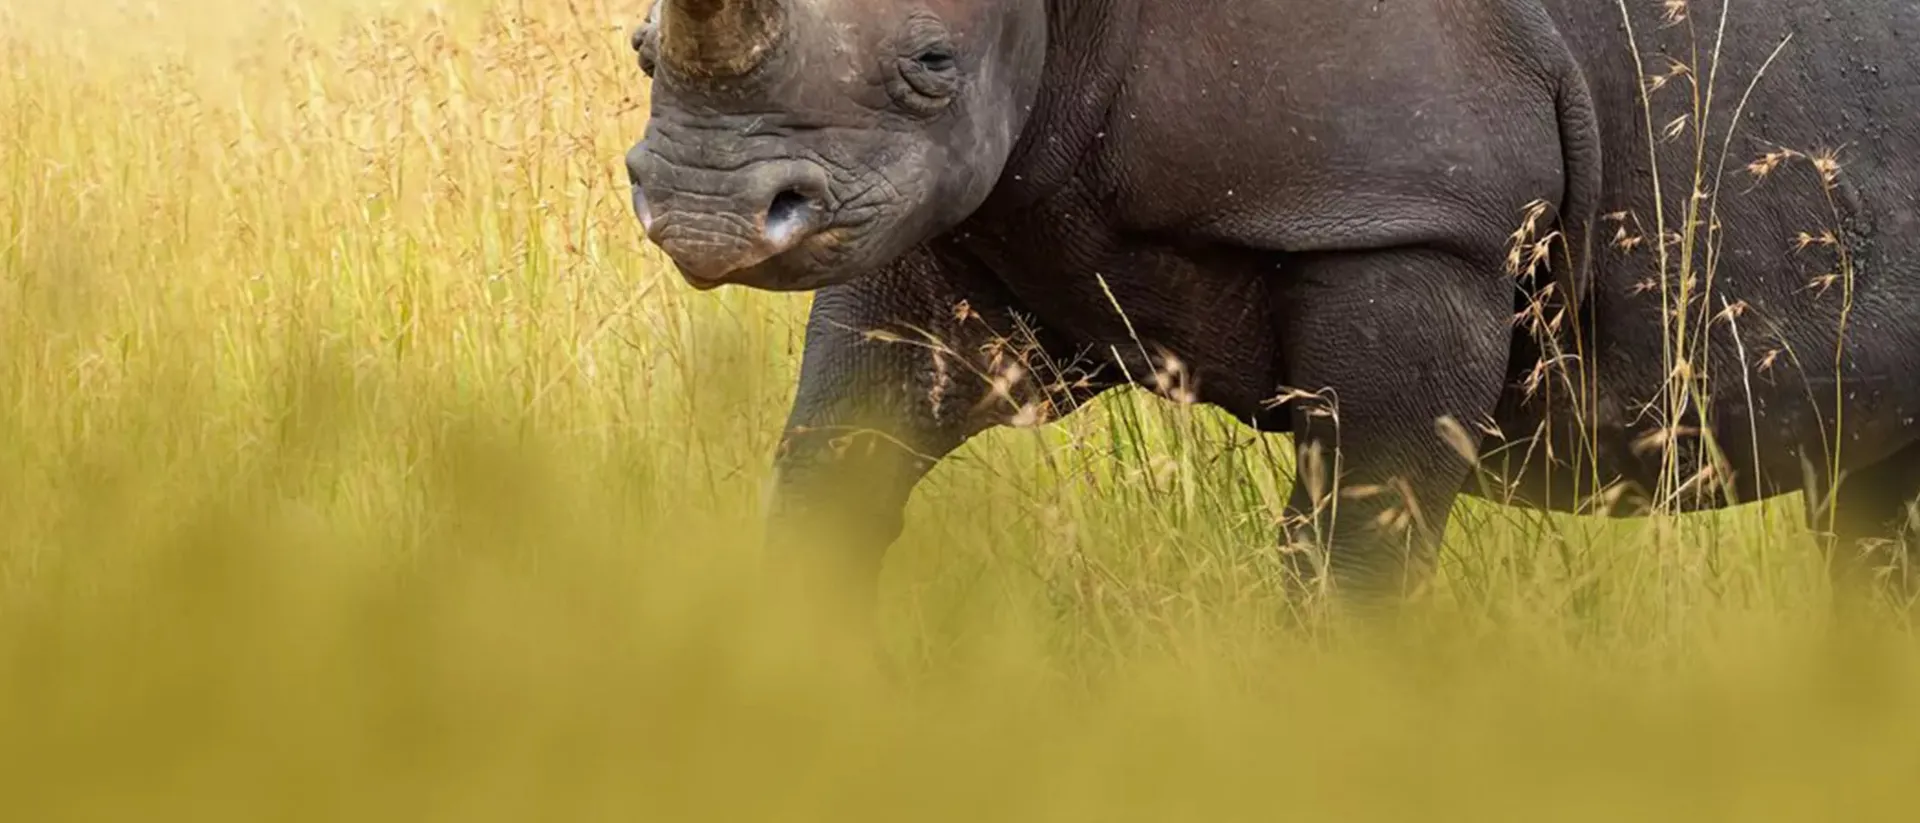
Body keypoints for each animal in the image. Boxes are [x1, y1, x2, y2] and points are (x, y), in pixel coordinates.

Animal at [622, 0, 1920, 610]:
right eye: (640, 47)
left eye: (934, 68)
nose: (702, 212)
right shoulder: (953, 213)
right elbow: (834, 467)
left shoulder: (1412, 221)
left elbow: (1354, 553)